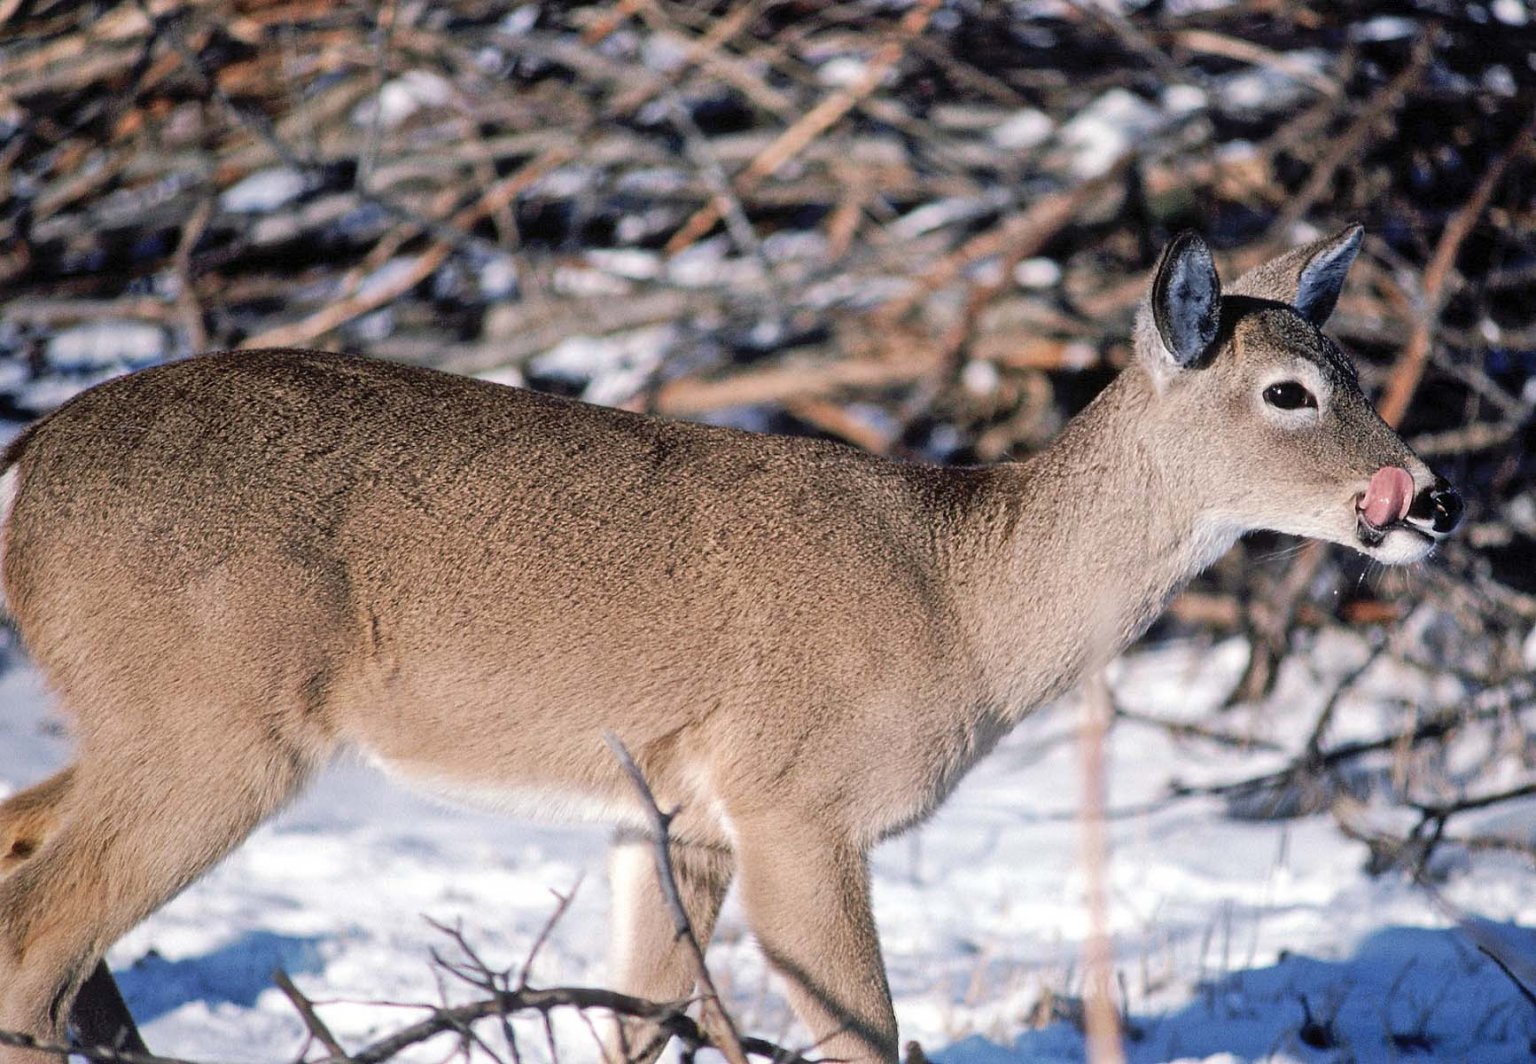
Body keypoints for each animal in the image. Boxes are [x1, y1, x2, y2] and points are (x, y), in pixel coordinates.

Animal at [0, 228, 1462, 1062]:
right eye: (1289, 390)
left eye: (1354, 365)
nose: (1429, 499)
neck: (963, 602)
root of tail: (26, 468)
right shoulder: (795, 799)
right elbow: (867, 1034)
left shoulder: (675, 815)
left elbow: (632, 1023)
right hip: (214, 716)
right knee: (35, 939)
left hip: (140, 711)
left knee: (28, 858)